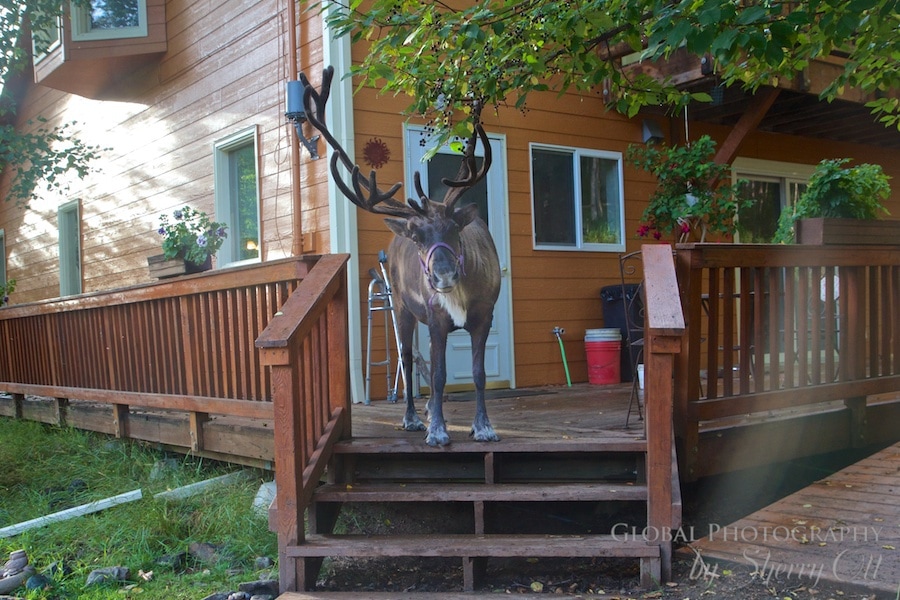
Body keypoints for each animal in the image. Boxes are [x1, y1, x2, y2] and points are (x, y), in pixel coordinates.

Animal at [301, 66, 501, 446]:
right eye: (419, 238)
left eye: (454, 230)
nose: (443, 275)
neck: (462, 296)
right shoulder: (435, 317)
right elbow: (436, 376)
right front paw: (437, 431)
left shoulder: (485, 315)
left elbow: (478, 373)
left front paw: (483, 426)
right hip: (403, 309)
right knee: (409, 362)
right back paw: (413, 418)